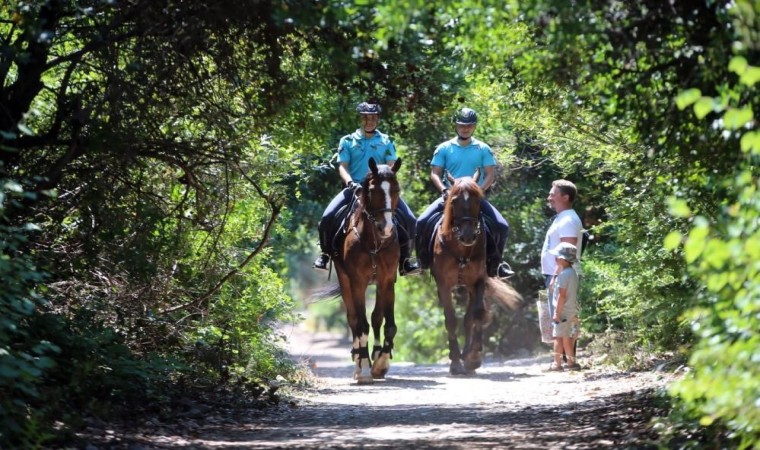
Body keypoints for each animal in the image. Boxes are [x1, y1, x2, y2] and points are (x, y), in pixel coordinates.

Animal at [314, 157, 404, 384]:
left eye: (396, 189)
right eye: (371, 190)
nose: (386, 228)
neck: (373, 242)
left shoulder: (387, 281)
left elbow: (388, 324)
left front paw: (381, 364)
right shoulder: (357, 282)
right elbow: (360, 324)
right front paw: (363, 366)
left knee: (375, 318)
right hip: (345, 281)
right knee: (353, 319)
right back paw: (358, 361)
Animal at [430, 171, 520, 374]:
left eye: (478, 200)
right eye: (454, 200)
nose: (468, 235)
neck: (461, 249)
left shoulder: (479, 281)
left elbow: (477, 314)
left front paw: (473, 357)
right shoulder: (444, 285)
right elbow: (450, 320)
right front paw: (455, 362)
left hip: (471, 287)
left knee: (469, 318)